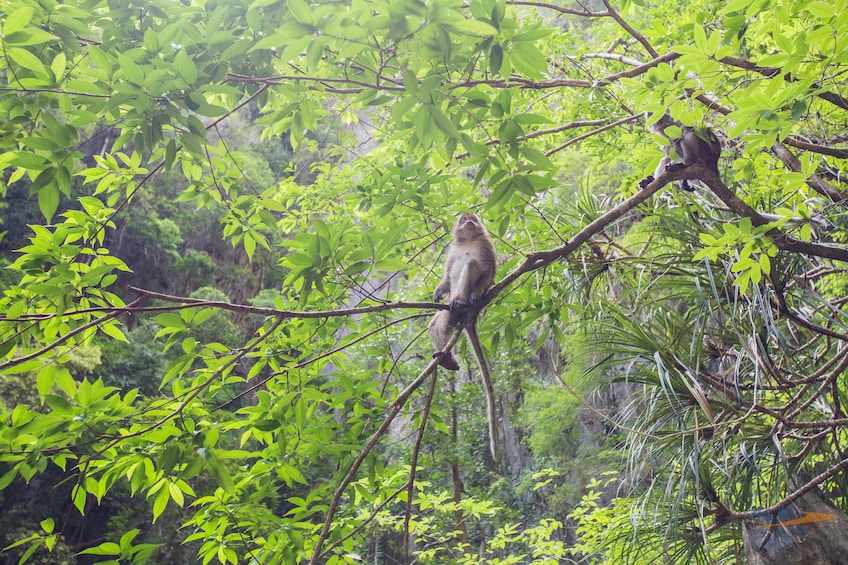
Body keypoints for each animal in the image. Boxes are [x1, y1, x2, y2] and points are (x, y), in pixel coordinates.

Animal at [428, 212, 500, 462]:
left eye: (473, 218)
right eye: (464, 219)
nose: (469, 221)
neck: (468, 240)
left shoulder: (486, 245)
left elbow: (488, 270)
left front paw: (478, 294)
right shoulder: (453, 251)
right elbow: (448, 275)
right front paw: (438, 291)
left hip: (466, 296)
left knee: (470, 265)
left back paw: (461, 301)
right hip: (447, 317)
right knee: (435, 324)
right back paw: (447, 359)